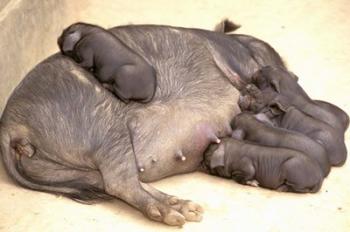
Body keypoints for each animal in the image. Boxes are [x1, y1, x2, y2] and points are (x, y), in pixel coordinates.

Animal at [0, 24, 284, 226]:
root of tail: (11, 126)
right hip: (102, 125)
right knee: (118, 181)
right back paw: (174, 216)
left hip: (61, 170)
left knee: (112, 181)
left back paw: (187, 209)